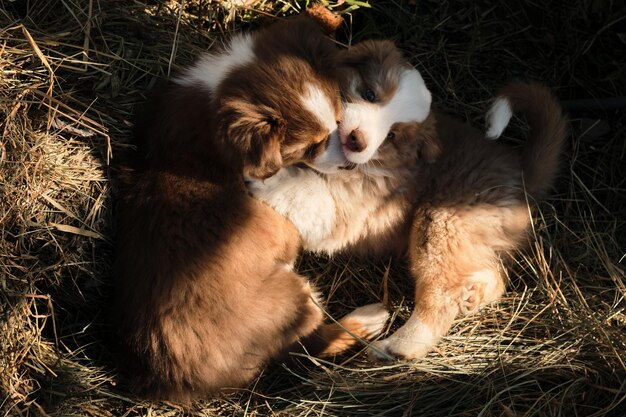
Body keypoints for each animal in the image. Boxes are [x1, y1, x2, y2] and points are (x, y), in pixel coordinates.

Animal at [110, 17, 388, 404]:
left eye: (337, 118)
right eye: (311, 147)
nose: (349, 162)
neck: (216, 96)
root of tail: (172, 377)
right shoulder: (284, 231)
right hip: (293, 297)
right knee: (311, 343)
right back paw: (369, 319)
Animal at [249, 41, 564, 360]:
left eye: (392, 135)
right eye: (369, 94)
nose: (356, 140)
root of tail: (521, 172)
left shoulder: (348, 212)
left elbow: (307, 193)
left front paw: (267, 179)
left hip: (441, 225)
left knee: (440, 298)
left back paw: (395, 346)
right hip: (473, 238)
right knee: (492, 276)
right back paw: (473, 295)